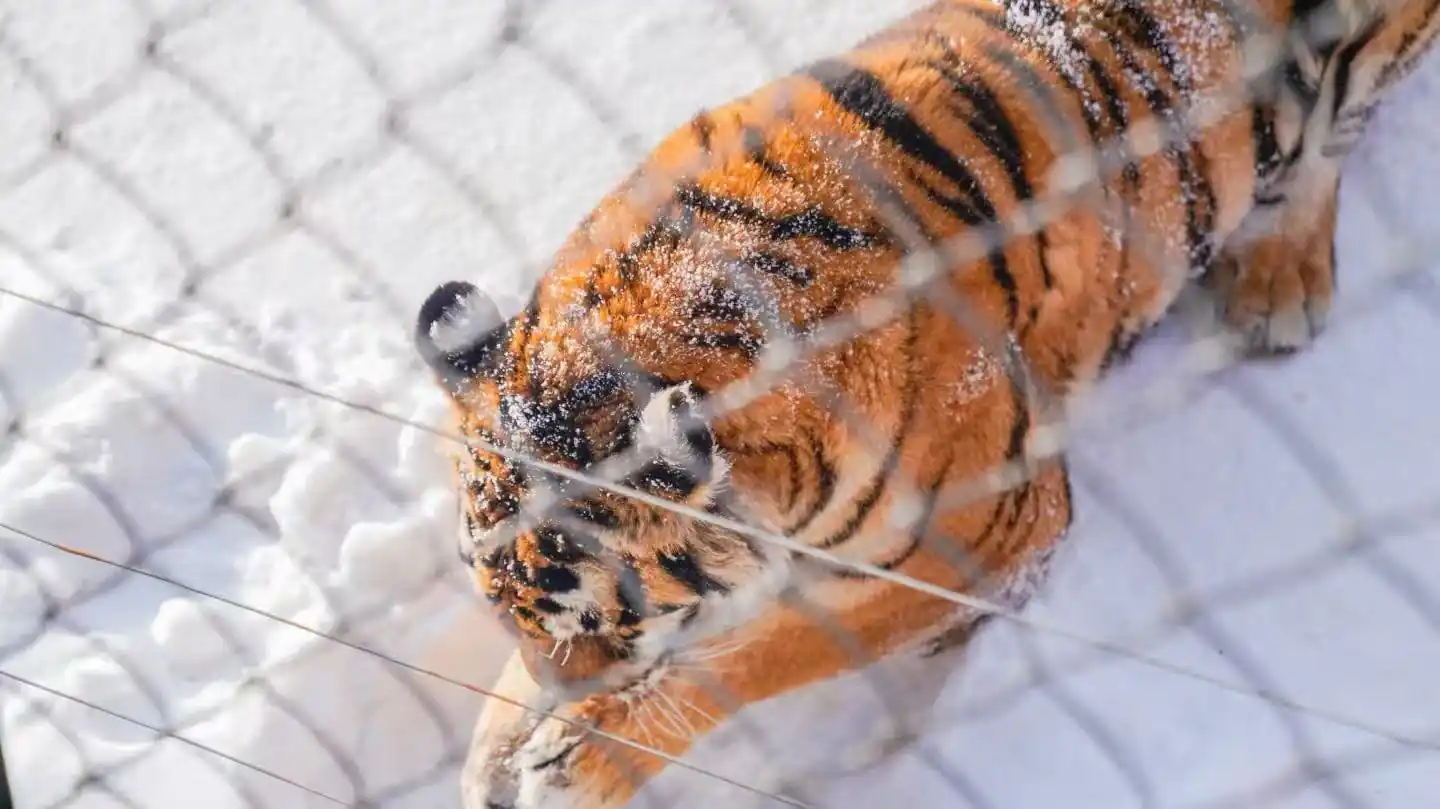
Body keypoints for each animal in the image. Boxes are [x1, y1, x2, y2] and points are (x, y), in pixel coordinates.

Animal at [411, 1, 1440, 806]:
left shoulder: (982, 533)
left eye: (605, 628)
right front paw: (493, 751)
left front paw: (577, 757)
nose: (560, 699)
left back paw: (1278, 283)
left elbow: (770, 649)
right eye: (507, 613)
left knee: (1322, 154)